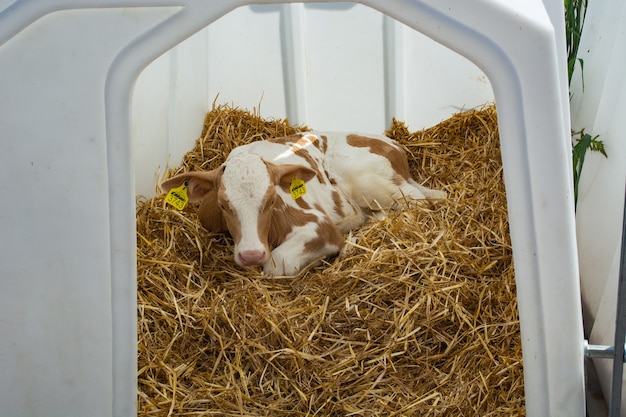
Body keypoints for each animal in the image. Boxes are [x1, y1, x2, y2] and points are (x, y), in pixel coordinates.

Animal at [161, 132, 444, 274]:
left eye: (271, 200)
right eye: (222, 205)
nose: (252, 255)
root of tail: (393, 144)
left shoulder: (319, 225)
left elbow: (277, 264)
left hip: (373, 183)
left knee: (418, 204)